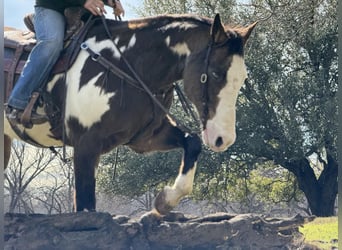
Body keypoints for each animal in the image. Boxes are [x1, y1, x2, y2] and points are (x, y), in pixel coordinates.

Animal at [3, 13, 256, 213]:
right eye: (215, 73)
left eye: (243, 77)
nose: (224, 139)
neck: (126, 64)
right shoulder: (85, 145)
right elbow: (86, 205)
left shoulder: (144, 137)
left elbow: (192, 142)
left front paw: (165, 200)